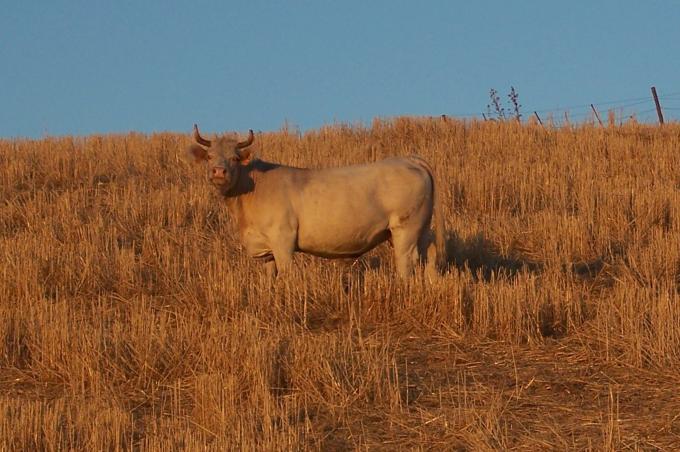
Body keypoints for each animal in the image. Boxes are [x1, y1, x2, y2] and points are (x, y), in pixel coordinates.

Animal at [186, 124, 445, 279]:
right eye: (210, 156)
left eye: (234, 158)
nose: (219, 172)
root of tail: (408, 159)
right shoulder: (264, 249)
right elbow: (269, 278)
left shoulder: (283, 238)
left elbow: (286, 273)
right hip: (420, 228)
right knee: (429, 256)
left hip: (405, 229)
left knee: (406, 262)